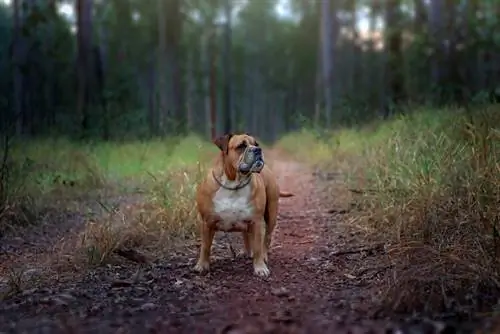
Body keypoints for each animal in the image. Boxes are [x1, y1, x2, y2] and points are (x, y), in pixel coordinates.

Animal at [192, 132, 292, 276]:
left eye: (256, 144)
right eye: (241, 146)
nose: (258, 150)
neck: (234, 184)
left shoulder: (256, 221)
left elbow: (258, 247)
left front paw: (260, 267)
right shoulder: (207, 222)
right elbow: (205, 246)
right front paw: (201, 265)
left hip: (271, 214)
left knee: (267, 238)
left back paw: (264, 255)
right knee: (246, 235)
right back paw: (246, 252)